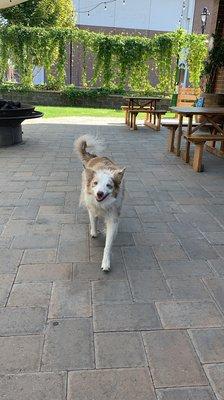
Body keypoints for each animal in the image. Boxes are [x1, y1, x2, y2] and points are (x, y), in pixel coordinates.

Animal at [74, 135, 125, 272]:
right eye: (95, 183)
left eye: (109, 185)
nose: (99, 193)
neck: (102, 205)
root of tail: (96, 156)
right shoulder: (92, 206)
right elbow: (93, 220)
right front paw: (94, 232)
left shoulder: (113, 217)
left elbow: (108, 244)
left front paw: (106, 262)